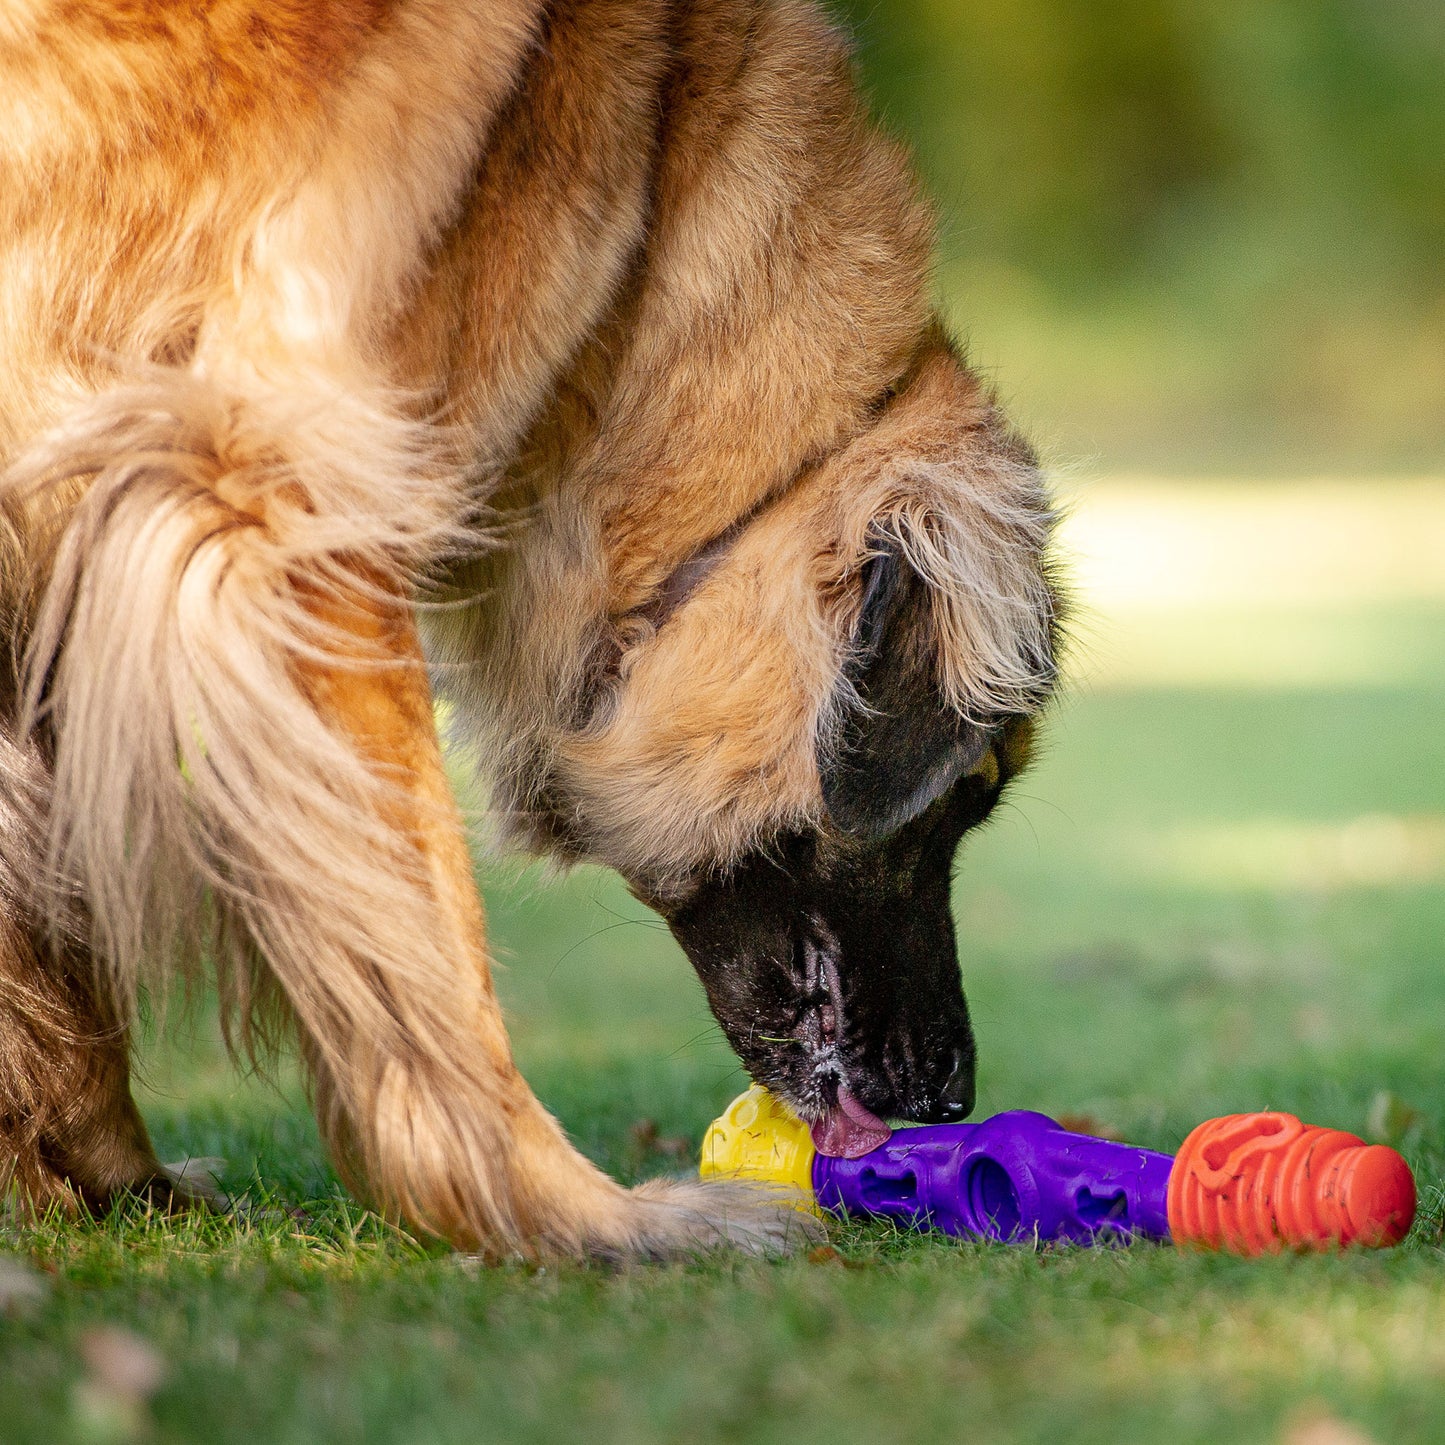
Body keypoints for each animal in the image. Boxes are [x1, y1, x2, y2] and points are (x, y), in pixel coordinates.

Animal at [0, 0, 1063, 1260]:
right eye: (964, 792)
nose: (950, 1094)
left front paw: (102, 1171)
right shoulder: (294, 516)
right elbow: (427, 947)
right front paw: (572, 1210)